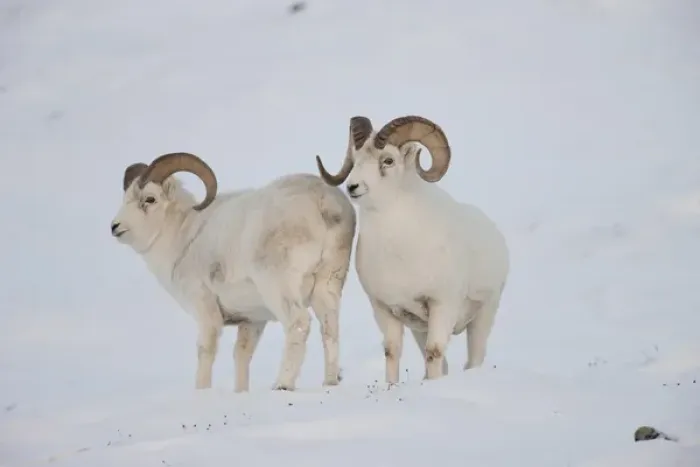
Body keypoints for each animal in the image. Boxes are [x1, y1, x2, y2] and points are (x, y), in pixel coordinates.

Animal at [110, 152, 356, 392]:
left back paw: (282, 385)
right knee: (330, 326)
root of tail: (322, 201)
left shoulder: (206, 309)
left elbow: (206, 350)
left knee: (299, 324)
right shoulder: (252, 319)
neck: (182, 237)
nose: (115, 227)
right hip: (328, 284)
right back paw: (330, 382)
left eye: (149, 199)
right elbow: (241, 355)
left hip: (279, 289)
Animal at [315, 116, 509, 384]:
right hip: (421, 329)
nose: (353, 187)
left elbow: (434, 352)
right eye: (355, 159)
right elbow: (392, 351)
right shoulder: (385, 309)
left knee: (474, 360)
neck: (399, 250)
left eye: (388, 160)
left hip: (483, 316)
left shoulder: (442, 305)